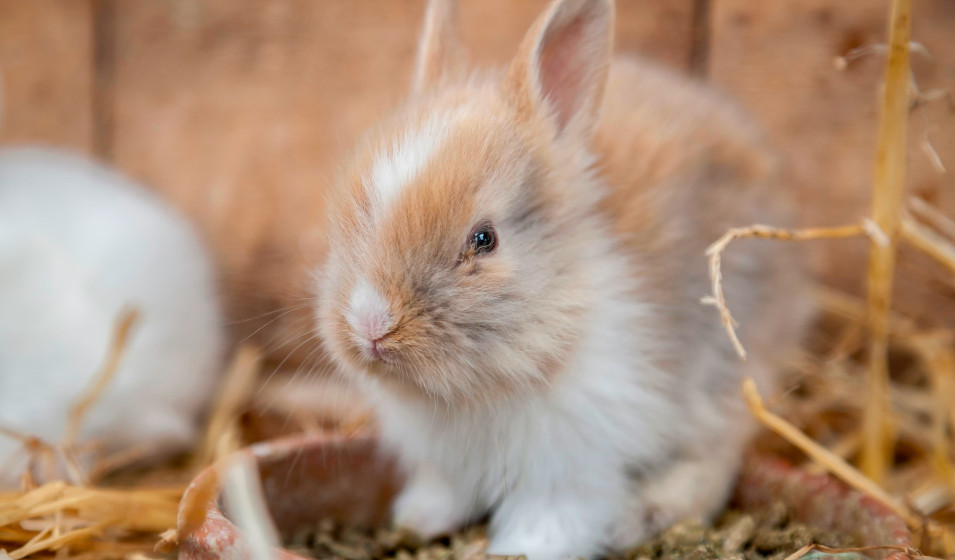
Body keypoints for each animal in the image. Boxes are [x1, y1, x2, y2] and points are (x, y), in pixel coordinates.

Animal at [313, 0, 812, 558]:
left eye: (484, 239)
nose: (371, 325)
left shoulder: (571, 468)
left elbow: (551, 522)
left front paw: (514, 549)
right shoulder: (449, 463)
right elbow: (447, 489)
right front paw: (418, 518)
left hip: (725, 373)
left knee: (714, 461)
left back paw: (641, 518)